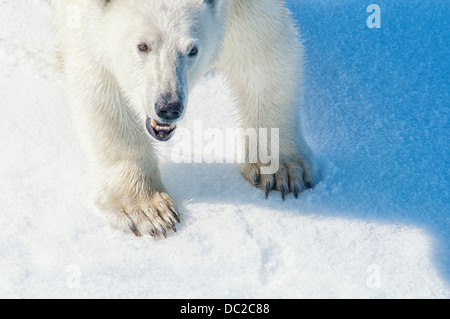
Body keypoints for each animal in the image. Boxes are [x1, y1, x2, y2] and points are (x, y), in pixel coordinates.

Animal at [50, 0, 316, 238]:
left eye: (192, 50)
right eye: (142, 46)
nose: (168, 106)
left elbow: (265, 54)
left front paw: (281, 171)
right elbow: (101, 85)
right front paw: (148, 211)